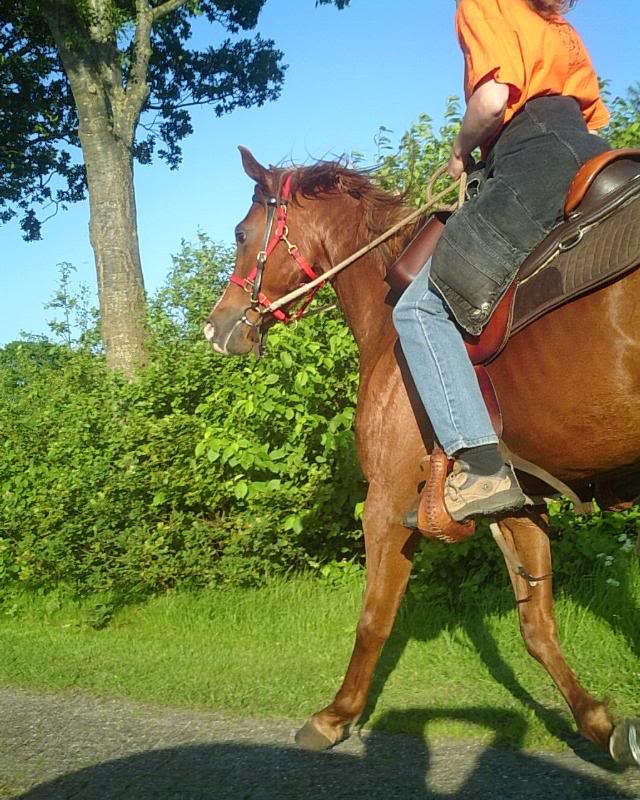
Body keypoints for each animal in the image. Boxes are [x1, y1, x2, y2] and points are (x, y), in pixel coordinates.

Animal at [204, 146, 640, 766]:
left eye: (242, 233)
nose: (216, 328)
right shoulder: (518, 504)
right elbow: (537, 626)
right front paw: (597, 723)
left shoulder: (387, 502)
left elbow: (373, 619)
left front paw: (335, 716)